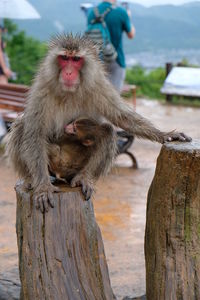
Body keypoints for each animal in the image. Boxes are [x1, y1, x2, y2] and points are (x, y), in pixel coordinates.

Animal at [6, 34, 191, 213]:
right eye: (64, 58)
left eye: (76, 60)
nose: (68, 73)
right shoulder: (41, 89)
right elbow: (34, 132)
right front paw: (43, 187)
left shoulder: (99, 86)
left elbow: (123, 118)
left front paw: (165, 135)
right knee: (22, 125)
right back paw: (31, 179)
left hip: (74, 169)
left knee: (108, 131)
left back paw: (84, 178)